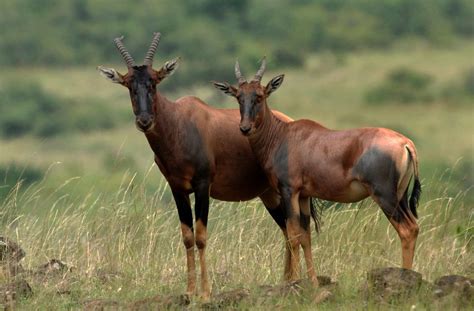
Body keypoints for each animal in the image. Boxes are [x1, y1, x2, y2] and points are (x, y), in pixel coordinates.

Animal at [97, 33, 304, 300]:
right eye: (129, 85)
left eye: (154, 82)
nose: (144, 121)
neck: (180, 123)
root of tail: (288, 121)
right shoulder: (177, 188)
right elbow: (187, 237)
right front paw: (189, 291)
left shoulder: (203, 185)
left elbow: (201, 236)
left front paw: (205, 293)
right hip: (268, 194)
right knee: (286, 230)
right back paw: (285, 281)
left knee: (293, 229)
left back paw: (293, 282)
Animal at [213, 58, 420, 288]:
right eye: (239, 96)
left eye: (259, 95)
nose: (245, 128)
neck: (282, 136)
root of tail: (405, 143)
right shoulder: (304, 195)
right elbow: (306, 236)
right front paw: (312, 281)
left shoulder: (289, 191)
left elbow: (293, 234)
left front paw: (294, 281)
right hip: (400, 196)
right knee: (414, 227)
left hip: (384, 196)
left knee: (407, 230)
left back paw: (406, 278)